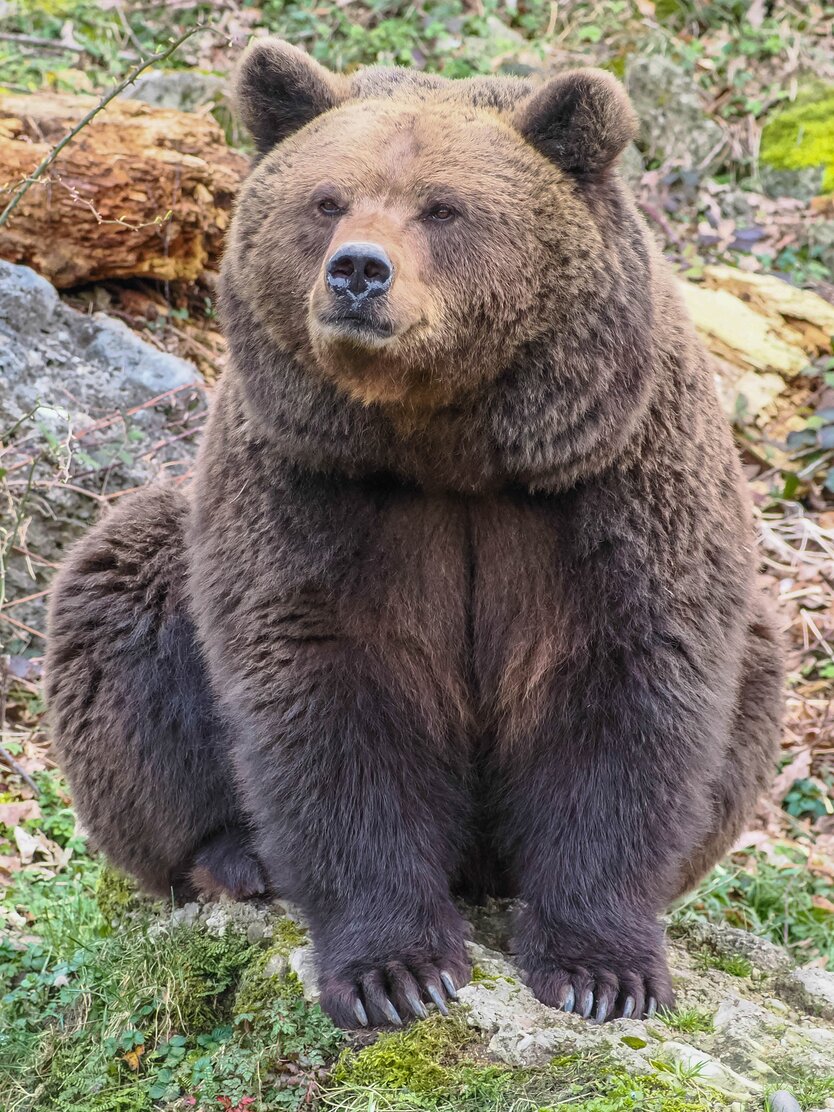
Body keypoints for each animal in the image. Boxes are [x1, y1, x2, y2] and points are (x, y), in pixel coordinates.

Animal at [47, 41, 782, 1031]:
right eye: (326, 199)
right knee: (125, 606)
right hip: (168, 563)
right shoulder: (311, 485)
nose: (358, 271)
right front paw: (398, 972)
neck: (444, 440)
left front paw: (600, 971)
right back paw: (236, 854)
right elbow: (329, 698)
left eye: (443, 207)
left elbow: (626, 699)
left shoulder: (610, 484)